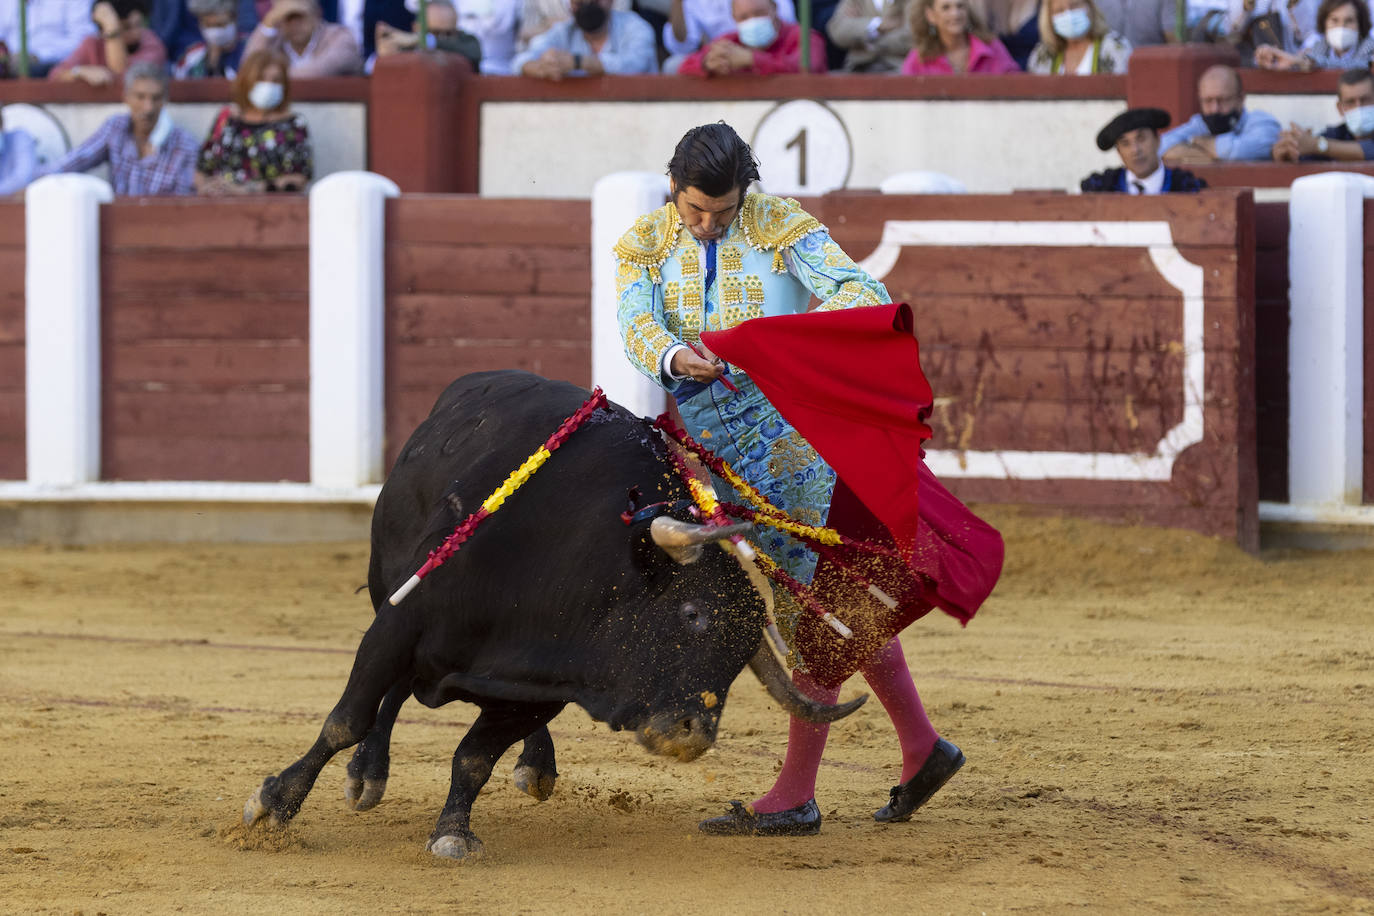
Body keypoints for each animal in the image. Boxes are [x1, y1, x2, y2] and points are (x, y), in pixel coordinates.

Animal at [236, 370, 857, 862]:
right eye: (692, 613)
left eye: (742, 655)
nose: (693, 735)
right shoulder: (398, 624)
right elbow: (347, 720)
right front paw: (274, 805)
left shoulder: (545, 684)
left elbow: (474, 758)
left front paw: (453, 833)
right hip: (382, 591)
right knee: (386, 699)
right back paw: (366, 775)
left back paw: (536, 765)